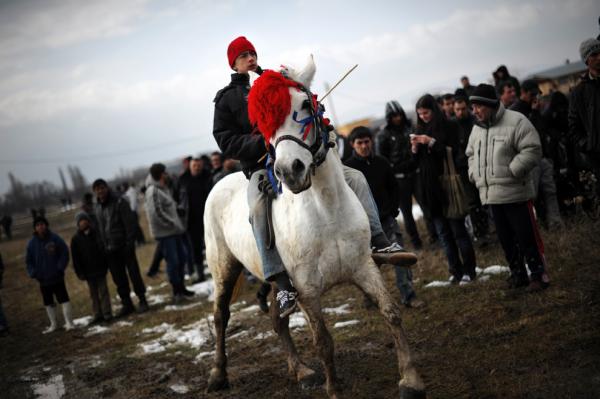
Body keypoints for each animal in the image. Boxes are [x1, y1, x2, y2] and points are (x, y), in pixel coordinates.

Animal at [204, 56, 424, 399]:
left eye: (305, 104)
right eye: (263, 123)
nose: (288, 170)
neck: (327, 210)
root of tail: (218, 184)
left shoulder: (364, 268)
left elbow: (391, 313)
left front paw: (411, 380)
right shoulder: (306, 291)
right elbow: (323, 341)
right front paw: (333, 390)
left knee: (277, 320)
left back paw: (302, 372)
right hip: (223, 268)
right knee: (220, 316)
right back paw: (217, 375)